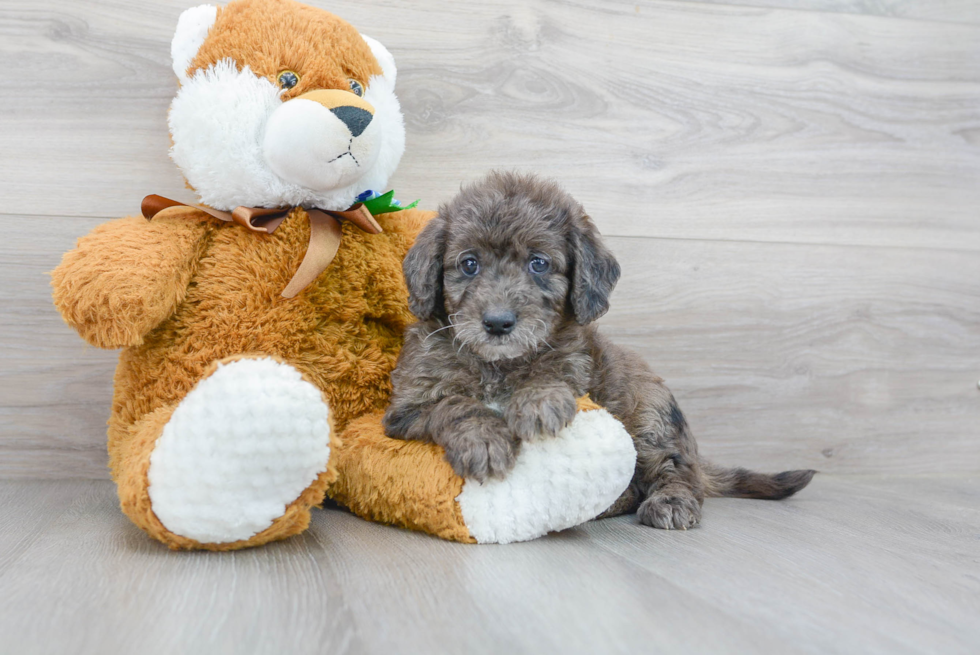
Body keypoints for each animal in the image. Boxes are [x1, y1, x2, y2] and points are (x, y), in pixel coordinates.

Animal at [382, 172, 812, 532]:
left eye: (539, 263)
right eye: (469, 264)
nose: (498, 323)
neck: (498, 364)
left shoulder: (579, 372)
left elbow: (551, 373)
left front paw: (538, 402)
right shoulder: (405, 410)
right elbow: (453, 404)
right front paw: (484, 442)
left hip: (650, 417)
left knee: (674, 472)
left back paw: (670, 502)